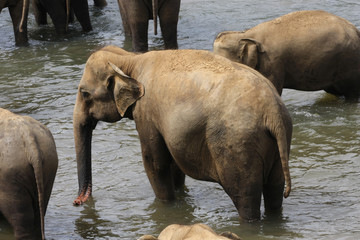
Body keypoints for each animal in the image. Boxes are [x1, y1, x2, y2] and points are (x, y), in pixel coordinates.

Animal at [72, 45, 292, 221]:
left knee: (245, 197)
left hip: (238, 145)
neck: (130, 60)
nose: (77, 202)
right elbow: (173, 163)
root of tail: (272, 110)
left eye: (84, 93)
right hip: (276, 145)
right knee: (274, 190)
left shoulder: (146, 113)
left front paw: (166, 205)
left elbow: (155, 163)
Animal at [214, 10, 360, 99]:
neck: (245, 34)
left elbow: (275, 88)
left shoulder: (273, 62)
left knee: (352, 92)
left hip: (349, 61)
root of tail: (355, 30)